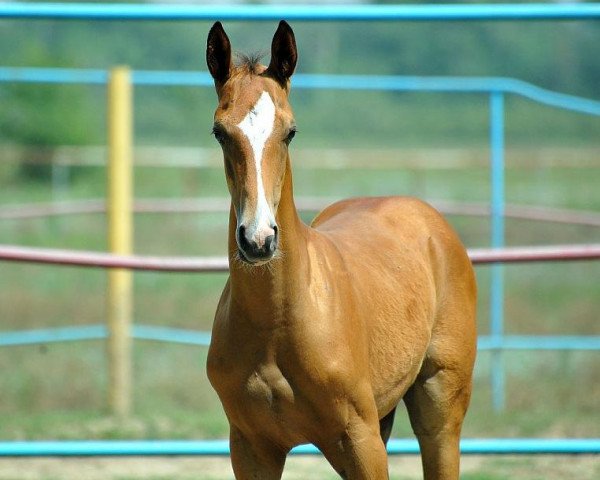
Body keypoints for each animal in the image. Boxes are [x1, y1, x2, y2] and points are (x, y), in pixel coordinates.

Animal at [206, 20, 478, 478]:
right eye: (220, 132)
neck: (278, 322)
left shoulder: (360, 441)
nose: (258, 240)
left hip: (439, 411)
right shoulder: (250, 447)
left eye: (290, 132)